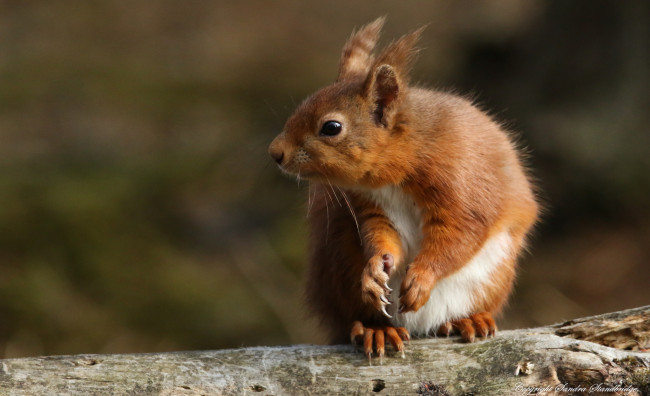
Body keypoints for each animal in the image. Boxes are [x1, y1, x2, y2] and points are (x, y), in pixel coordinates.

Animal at [268, 18, 536, 362]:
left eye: (331, 127)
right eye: (305, 102)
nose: (275, 153)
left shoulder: (464, 184)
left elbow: (459, 236)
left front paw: (422, 278)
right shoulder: (372, 206)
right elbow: (381, 238)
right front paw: (375, 270)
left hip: (492, 275)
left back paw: (467, 320)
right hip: (340, 269)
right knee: (355, 316)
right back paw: (377, 329)